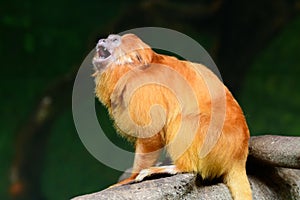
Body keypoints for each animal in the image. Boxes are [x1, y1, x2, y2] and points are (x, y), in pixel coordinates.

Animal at [92, 33, 252, 199]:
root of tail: (238, 157)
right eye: (108, 38)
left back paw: (179, 167)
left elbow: (152, 133)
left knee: (184, 120)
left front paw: (131, 178)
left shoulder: (143, 89)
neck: (132, 70)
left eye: (114, 40)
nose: (102, 40)